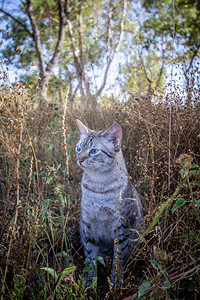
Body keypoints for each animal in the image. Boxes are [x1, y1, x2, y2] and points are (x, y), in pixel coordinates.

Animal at [75, 119, 144, 286]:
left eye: (94, 151)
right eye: (78, 148)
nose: (80, 159)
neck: (98, 186)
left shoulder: (121, 229)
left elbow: (118, 262)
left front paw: (116, 285)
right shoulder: (89, 227)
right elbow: (90, 259)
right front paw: (89, 284)